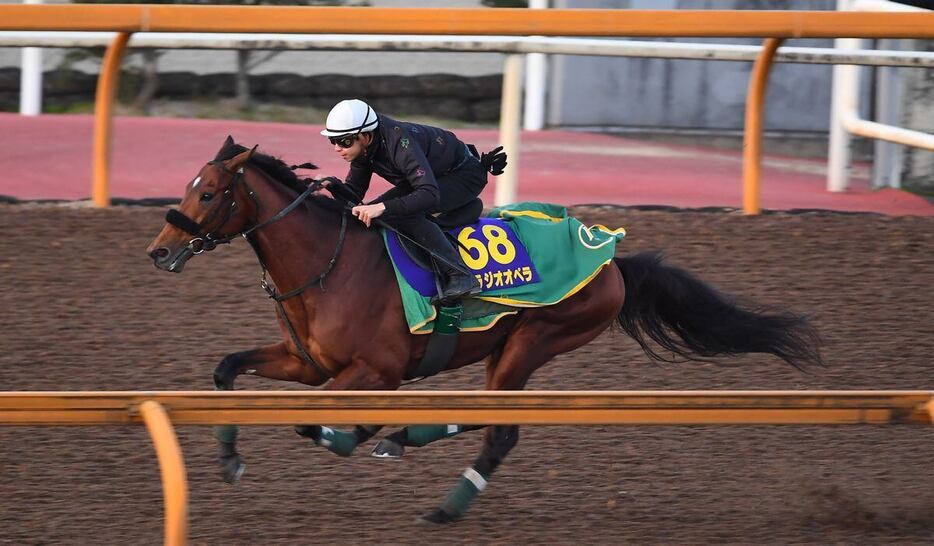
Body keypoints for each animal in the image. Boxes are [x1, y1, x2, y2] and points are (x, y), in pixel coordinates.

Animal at [143, 136, 824, 524]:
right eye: (188, 186)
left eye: (209, 193)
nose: (159, 250)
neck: (328, 264)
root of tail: (609, 255)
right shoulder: (306, 362)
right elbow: (227, 370)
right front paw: (230, 459)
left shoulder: (376, 372)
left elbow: (315, 423)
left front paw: (347, 436)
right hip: (508, 348)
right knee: (492, 412)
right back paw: (404, 439)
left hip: (536, 336)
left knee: (502, 428)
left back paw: (445, 505)